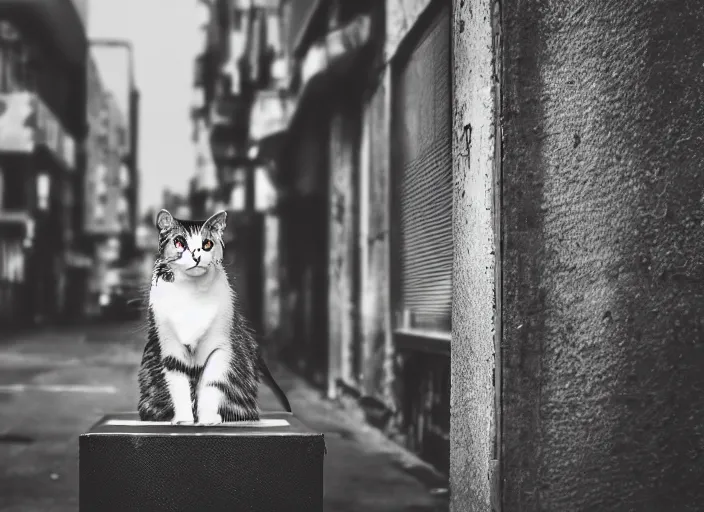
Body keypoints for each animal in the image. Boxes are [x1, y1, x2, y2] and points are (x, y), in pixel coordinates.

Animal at [138, 208, 292, 424]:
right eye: (179, 242)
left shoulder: (221, 347)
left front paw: (208, 419)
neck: (192, 293)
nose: (196, 255)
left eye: (207, 244)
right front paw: (183, 420)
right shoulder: (170, 349)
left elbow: (212, 385)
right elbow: (179, 387)